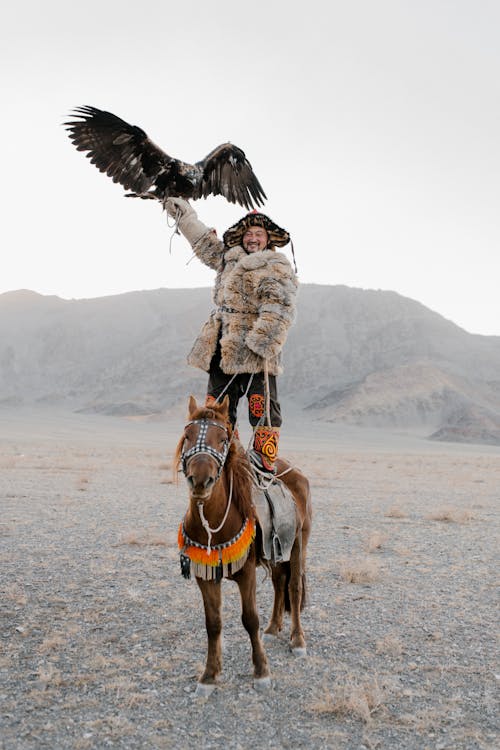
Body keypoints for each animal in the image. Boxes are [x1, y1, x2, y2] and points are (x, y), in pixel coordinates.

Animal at [174, 396, 310, 696]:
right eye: (188, 436)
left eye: (223, 439)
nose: (200, 480)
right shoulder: (205, 575)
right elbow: (213, 623)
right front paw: (209, 675)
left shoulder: (246, 572)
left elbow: (250, 619)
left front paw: (261, 671)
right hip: (277, 551)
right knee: (279, 583)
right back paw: (273, 628)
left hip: (298, 543)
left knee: (294, 588)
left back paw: (297, 640)